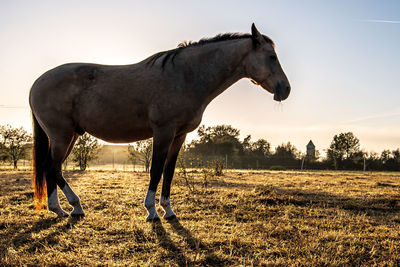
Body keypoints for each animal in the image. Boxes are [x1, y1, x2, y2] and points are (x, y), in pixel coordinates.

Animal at [28, 24, 290, 222]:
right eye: (272, 56)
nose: (285, 89)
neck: (185, 76)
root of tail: (37, 82)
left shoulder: (179, 135)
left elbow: (169, 171)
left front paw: (168, 210)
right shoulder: (163, 132)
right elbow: (155, 169)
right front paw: (151, 211)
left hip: (70, 135)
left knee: (51, 167)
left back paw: (61, 208)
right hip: (62, 135)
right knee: (52, 166)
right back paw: (73, 206)